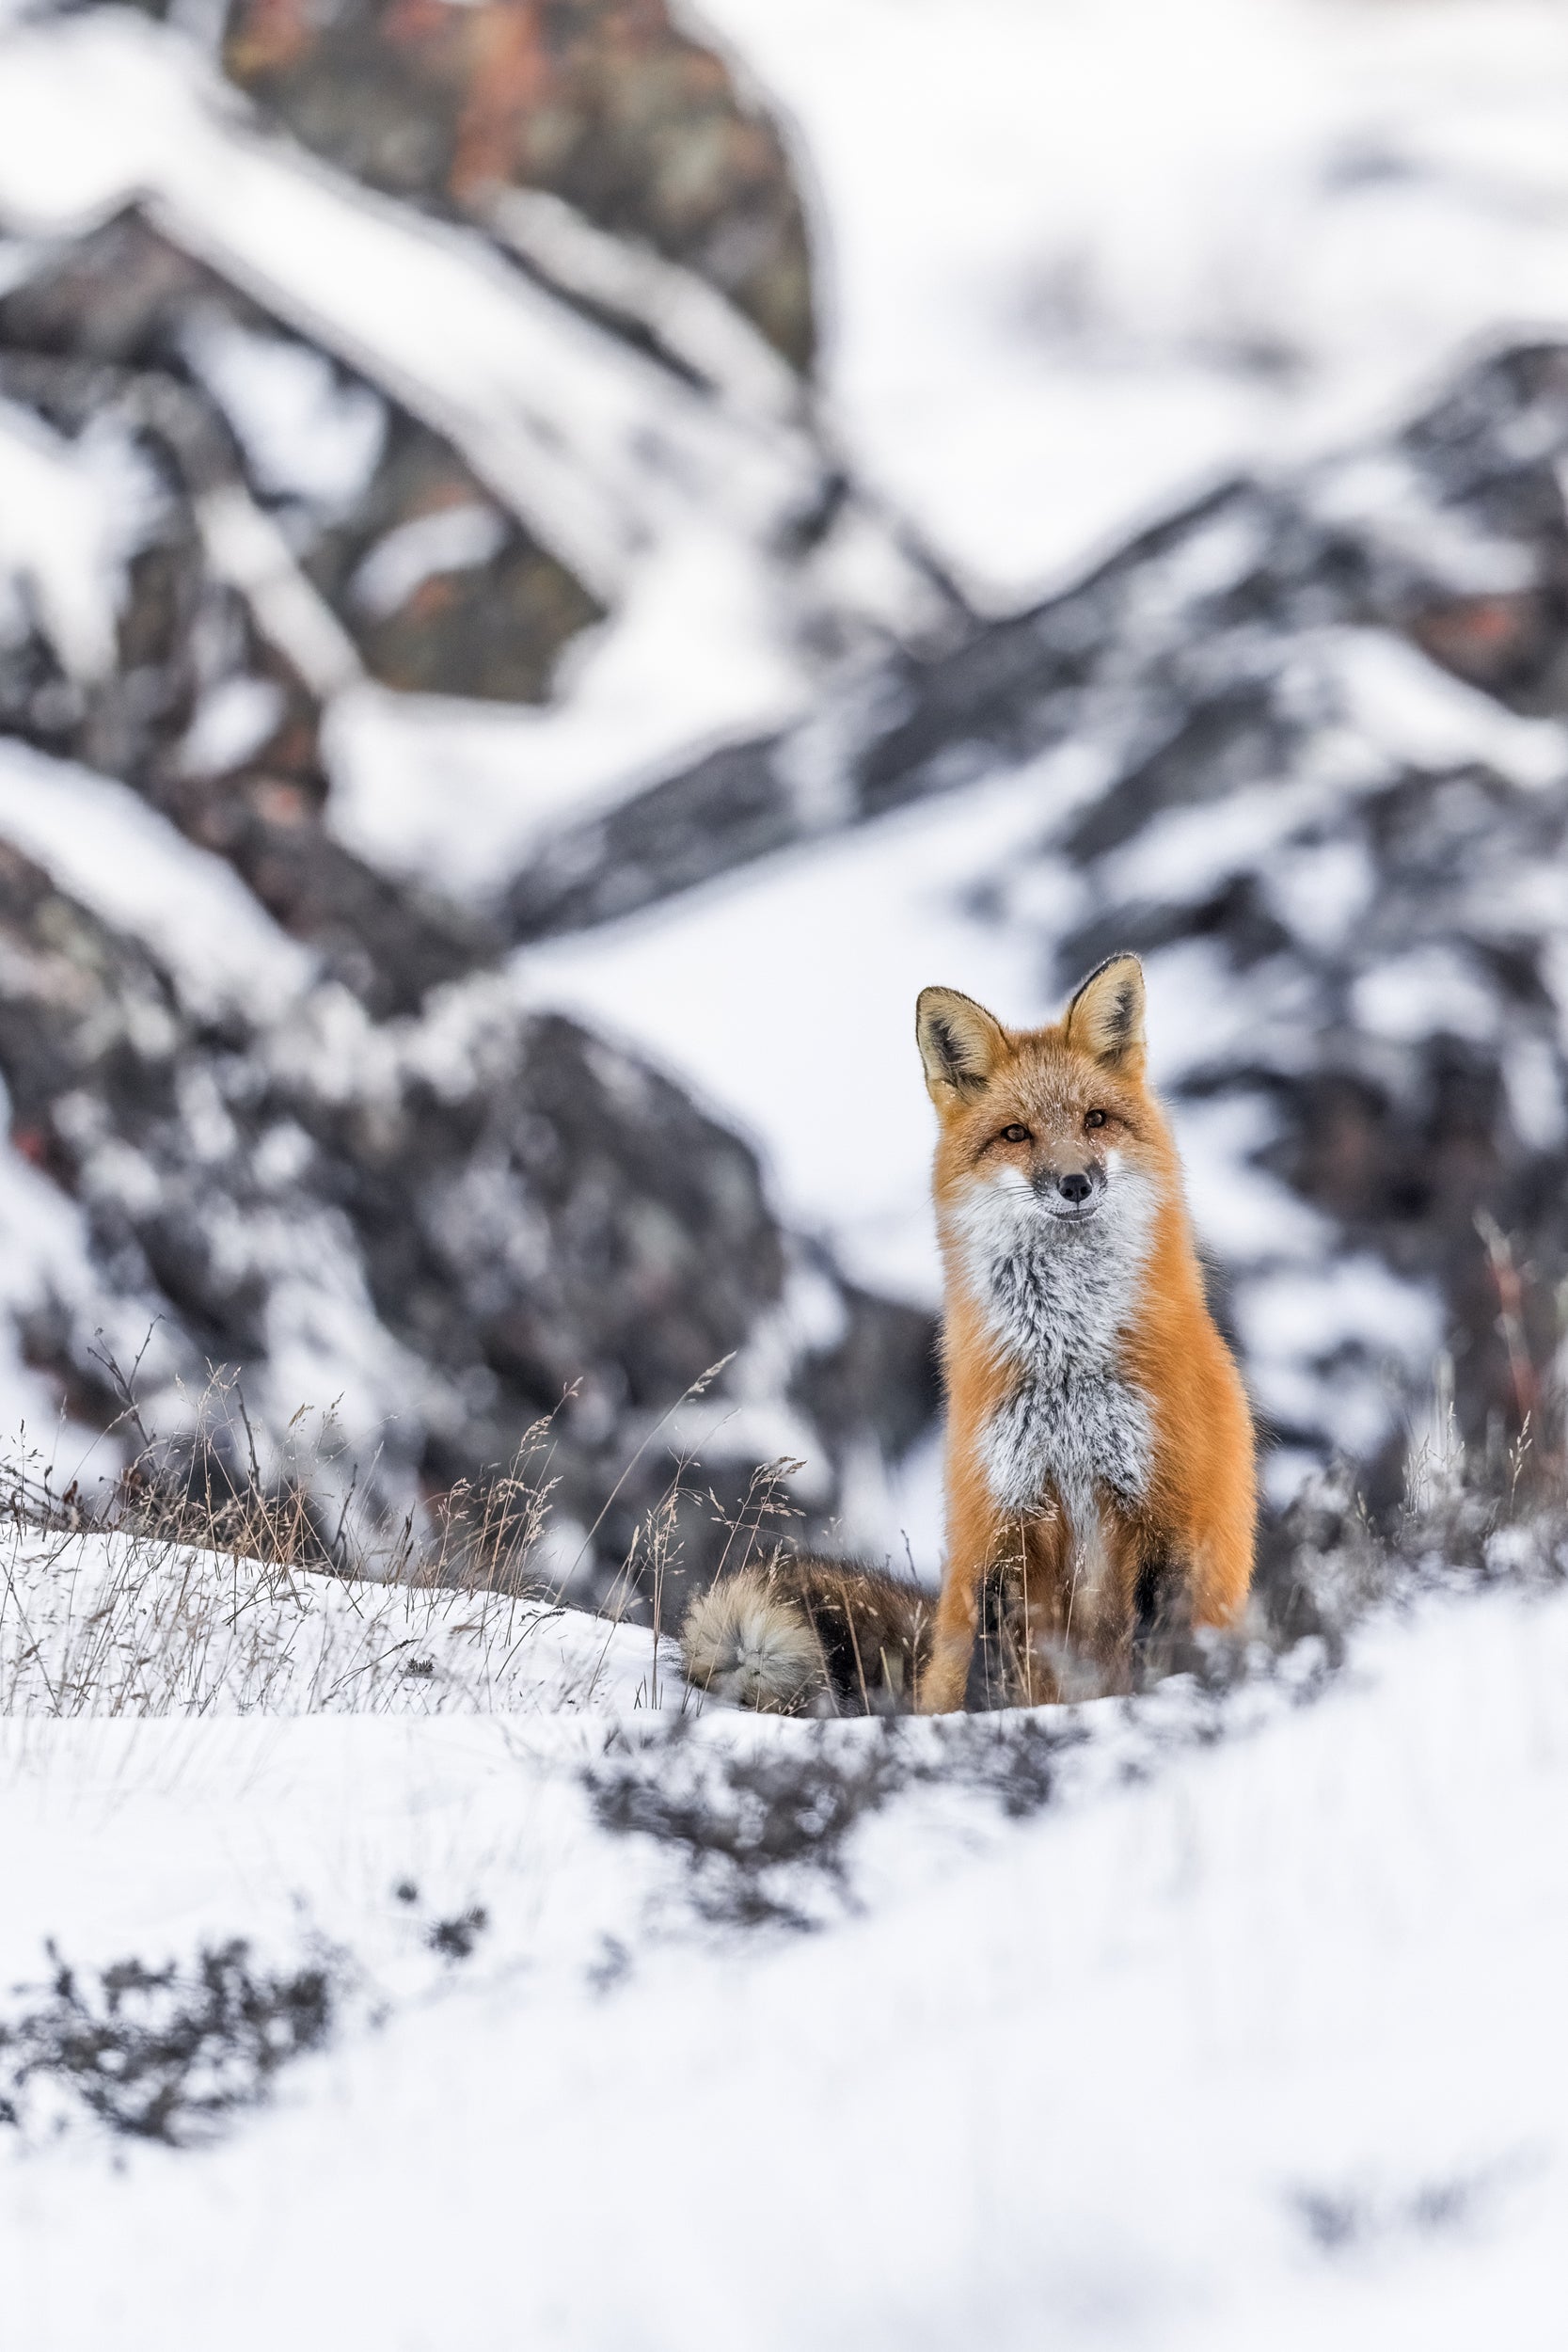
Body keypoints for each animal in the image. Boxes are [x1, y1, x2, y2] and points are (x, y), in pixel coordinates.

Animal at [679, 954, 1255, 1715]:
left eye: (1095, 1119)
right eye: (1016, 1133)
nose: (1075, 1183)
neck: (1067, 1370)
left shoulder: (1166, 1512)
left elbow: (1155, 1652)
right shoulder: (1001, 1523)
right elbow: (995, 1675)